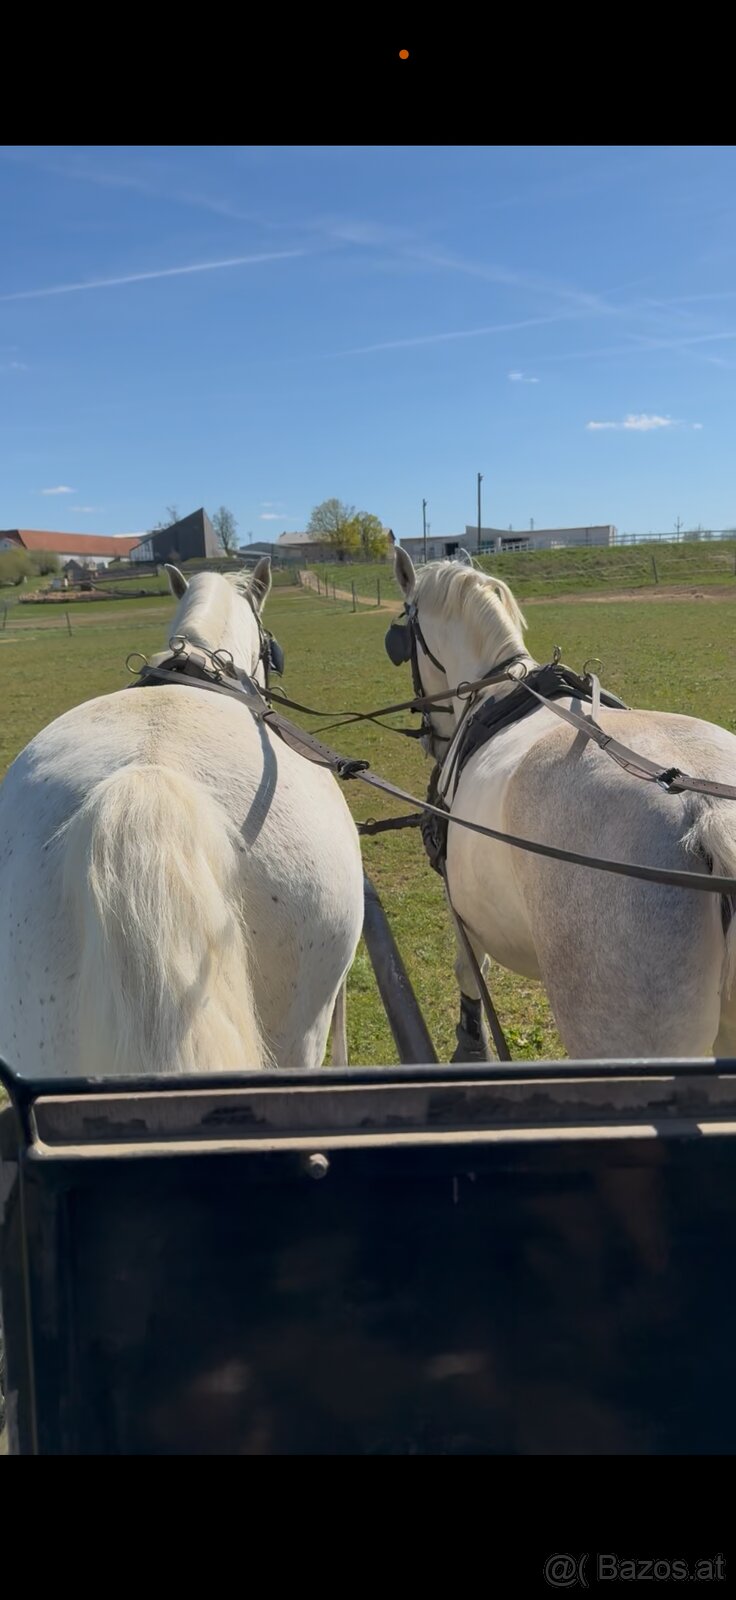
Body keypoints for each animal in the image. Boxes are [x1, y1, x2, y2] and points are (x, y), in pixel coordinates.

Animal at [387, 546, 736, 1061]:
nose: (431, 738)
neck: (496, 689)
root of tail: (708, 813)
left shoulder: (460, 903)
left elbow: (470, 970)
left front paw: (471, 1039)